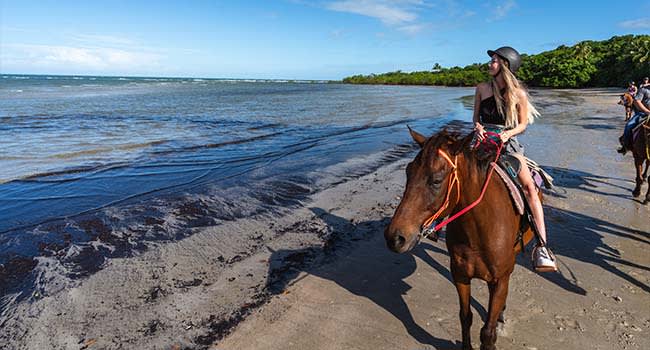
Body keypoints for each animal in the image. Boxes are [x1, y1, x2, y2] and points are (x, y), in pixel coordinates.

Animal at [384, 129, 532, 350]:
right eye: (408, 172)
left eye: (436, 181)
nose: (395, 237)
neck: (479, 232)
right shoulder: (460, 275)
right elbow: (465, 316)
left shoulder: (499, 279)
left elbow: (487, 332)